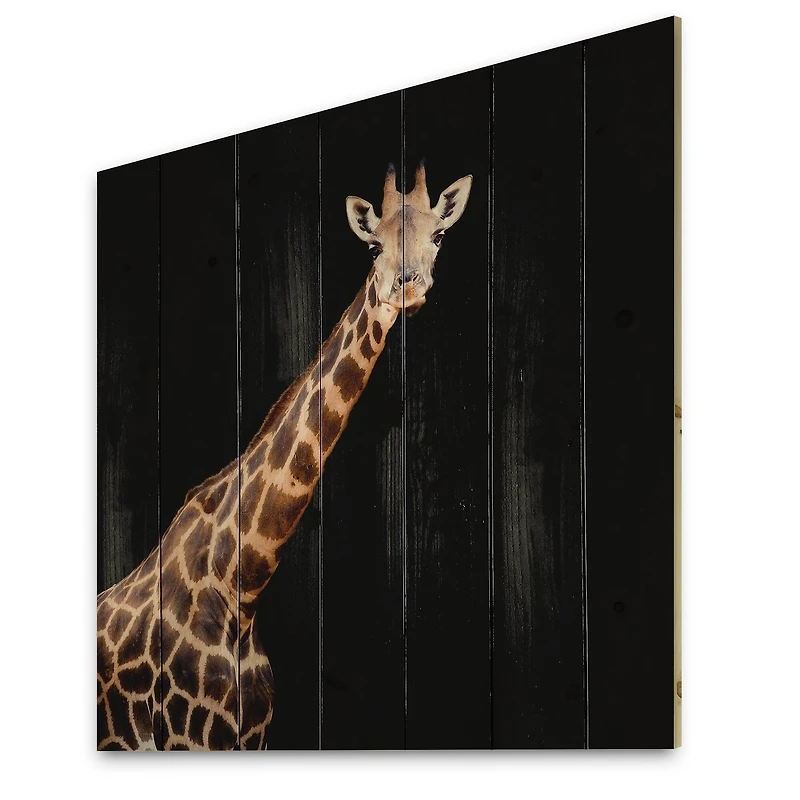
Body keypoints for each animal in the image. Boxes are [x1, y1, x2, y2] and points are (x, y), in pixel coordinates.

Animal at [97, 162, 473, 750]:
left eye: (437, 236)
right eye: (372, 246)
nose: (406, 286)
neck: (240, 590)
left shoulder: (252, 738)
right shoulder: (187, 739)